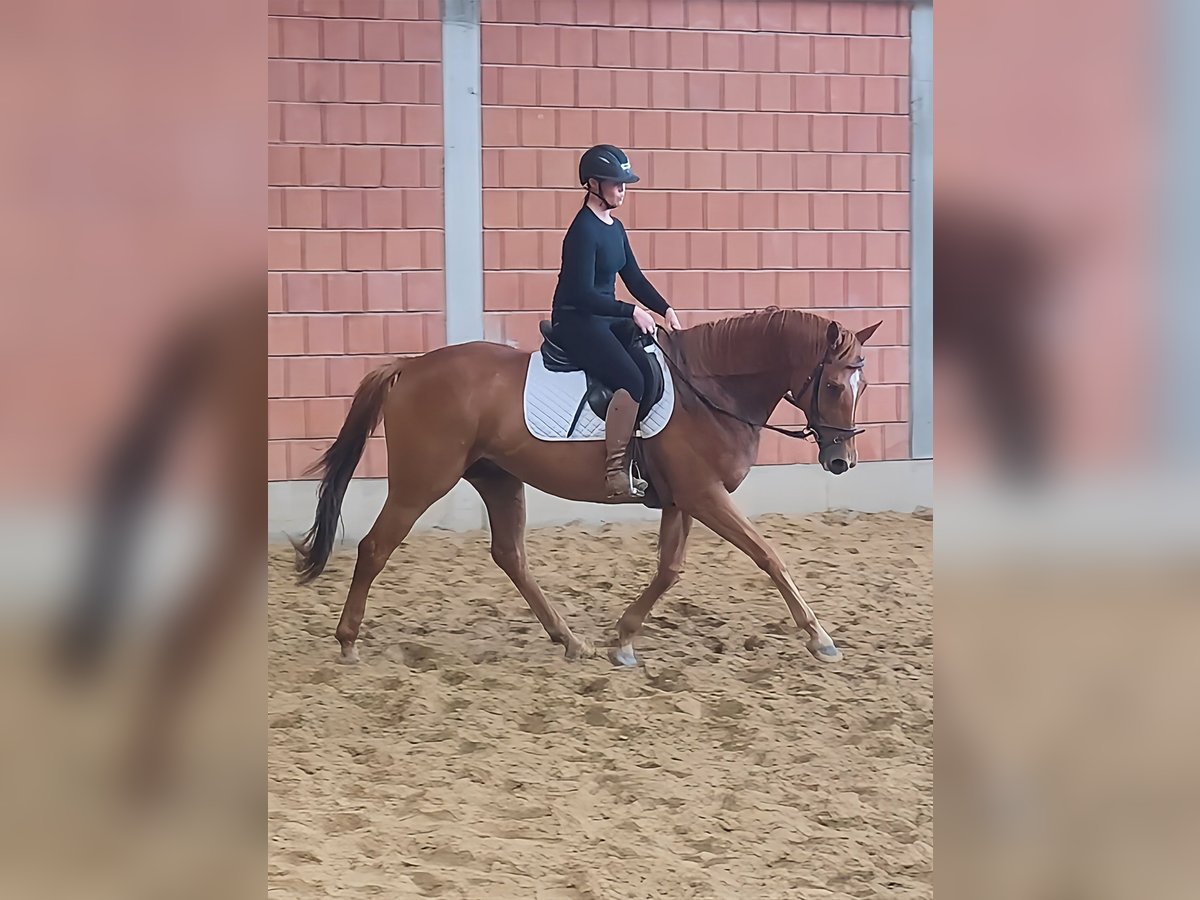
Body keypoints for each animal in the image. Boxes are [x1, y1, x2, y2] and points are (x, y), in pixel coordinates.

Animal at [292, 307, 881, 668]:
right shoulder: (706, 495)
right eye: (834, 385)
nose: (841, 460)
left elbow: (670, 568)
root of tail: (410, 367)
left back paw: (570, 640)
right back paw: (347, 643)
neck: (711, 390)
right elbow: (768, 555)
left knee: (510, 555)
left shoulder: (684, 499)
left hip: (497, 479)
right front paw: (820, 637)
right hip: (422, 481)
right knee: (375, 548)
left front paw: (623, 640)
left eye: (862, 386)